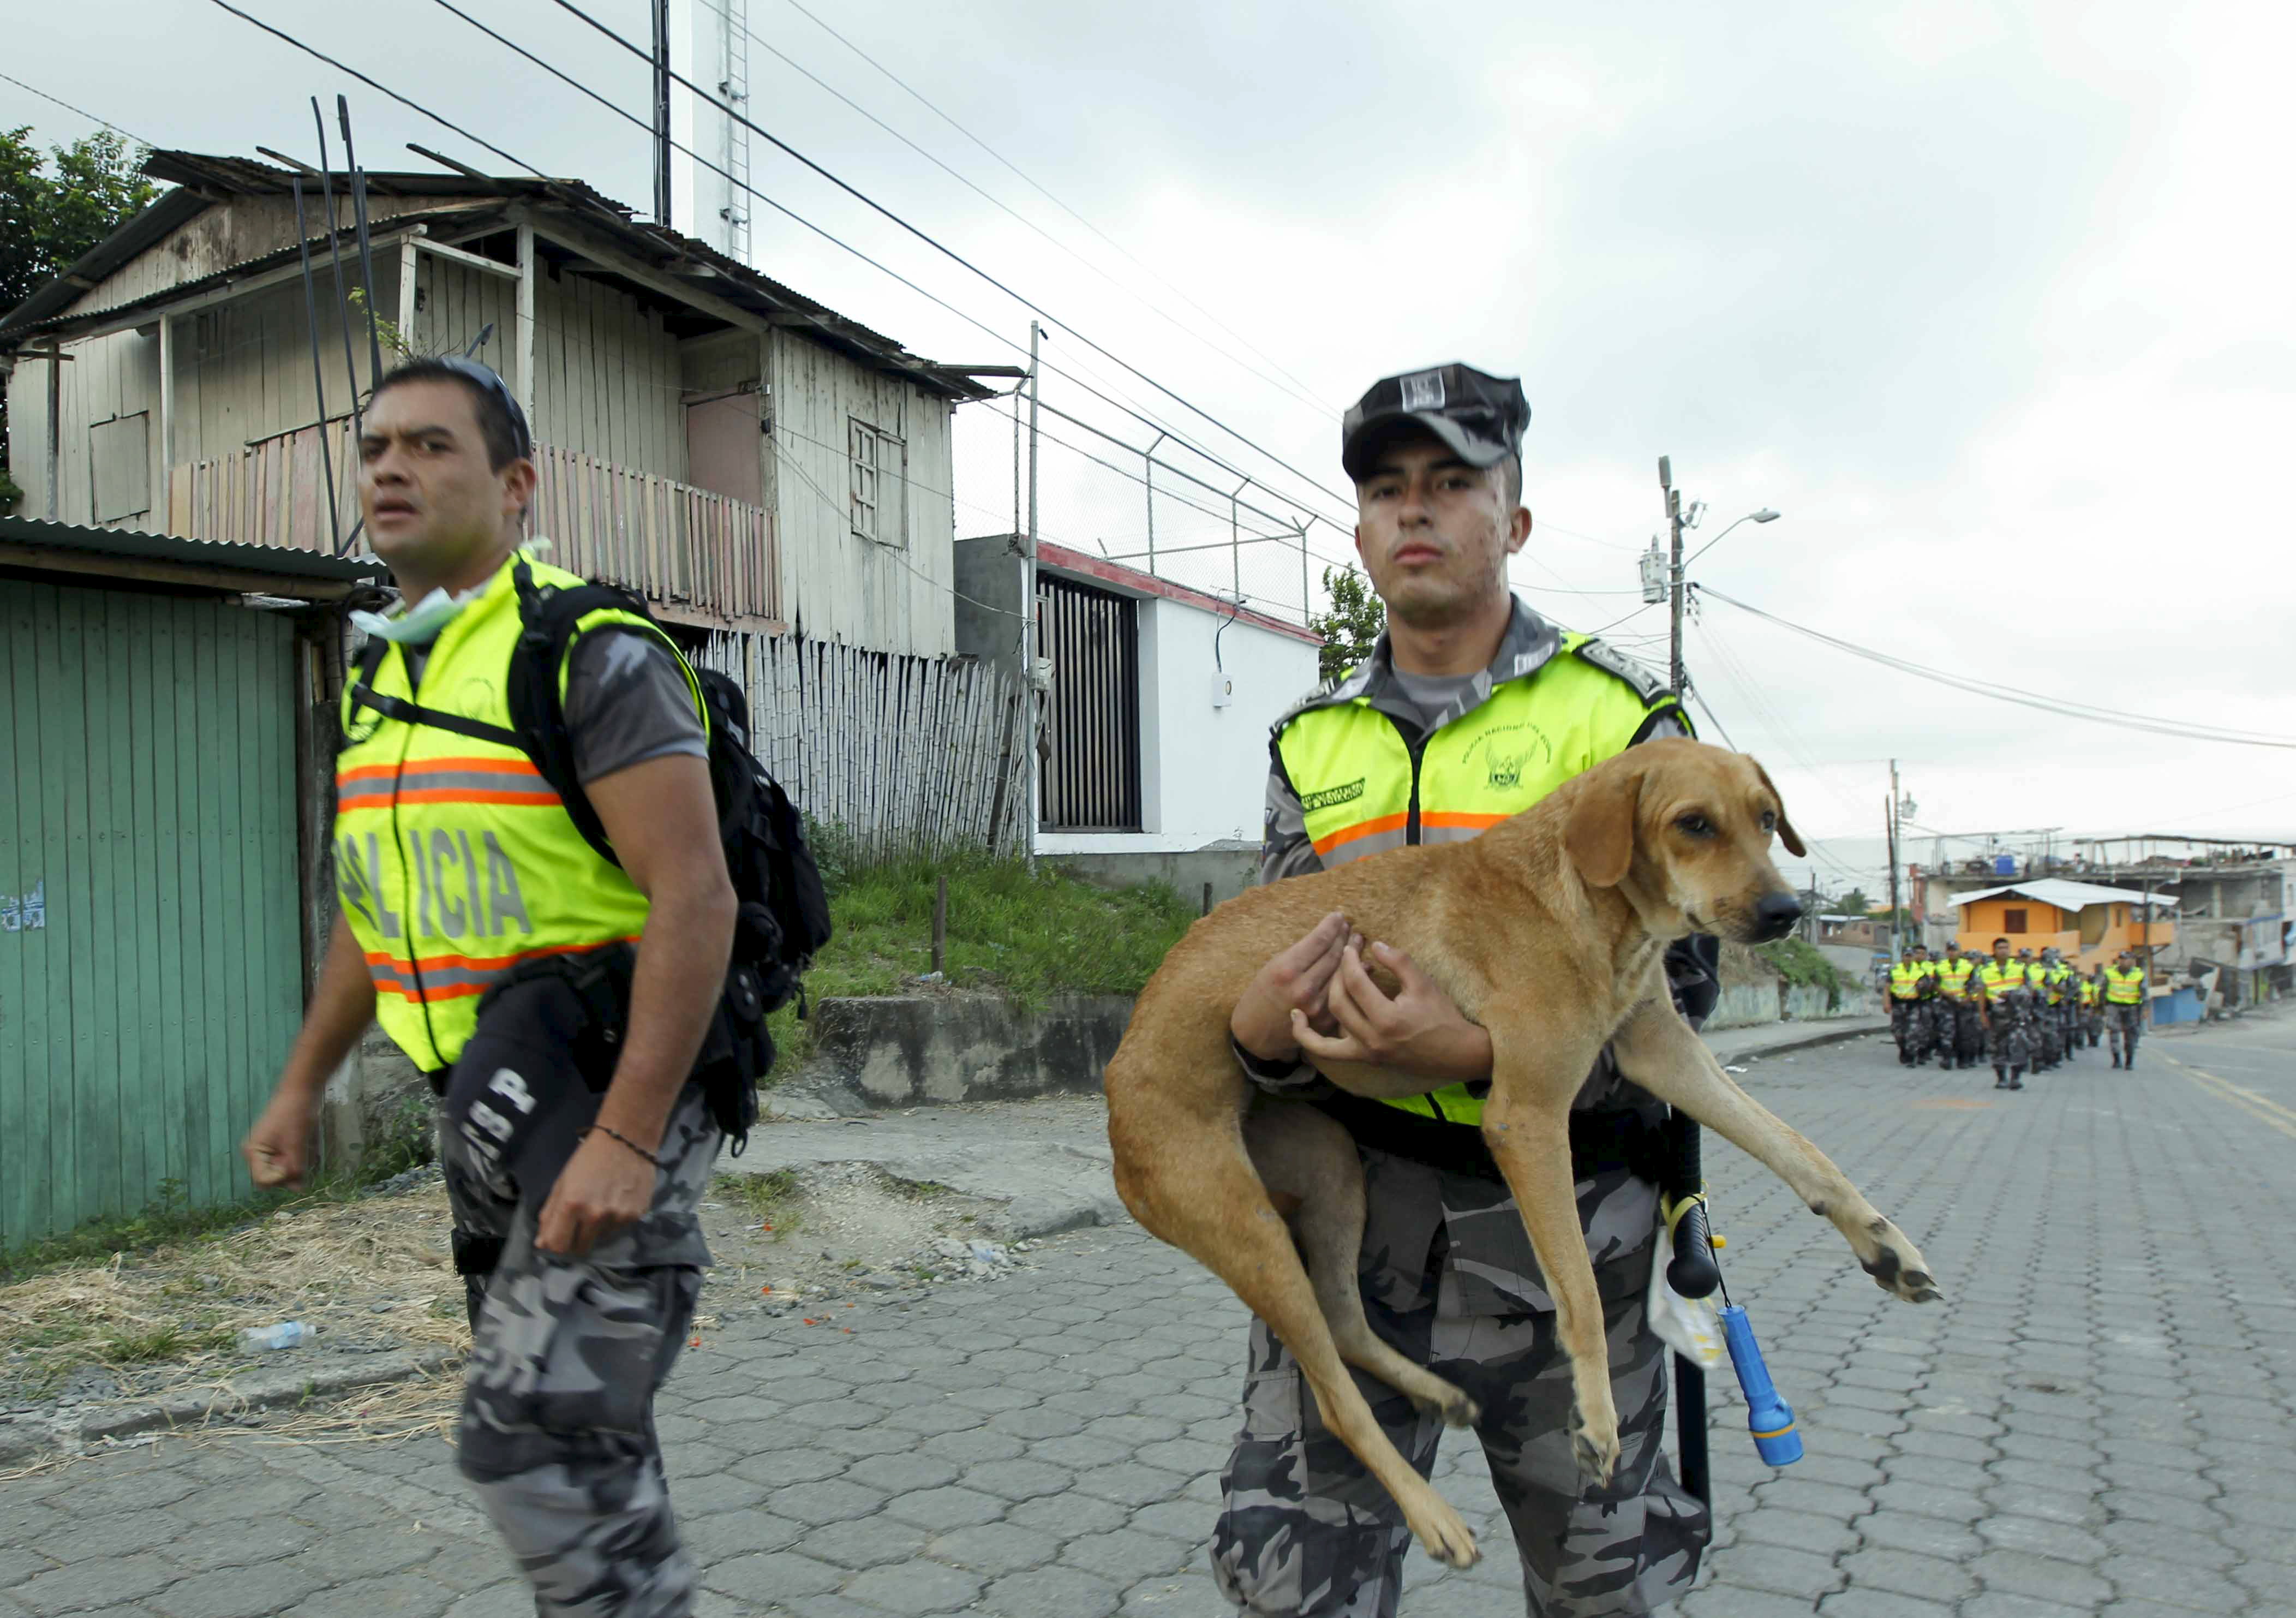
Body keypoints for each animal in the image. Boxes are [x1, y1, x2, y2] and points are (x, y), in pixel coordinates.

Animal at [243, 360, 730, 1606]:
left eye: (432, 443)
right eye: (379, 442)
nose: (387, 475)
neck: (444, 621)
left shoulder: (621, 690)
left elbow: (688, 884)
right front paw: (285, 1126)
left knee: (559, 1423)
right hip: (478, 1212)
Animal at [1102, 743, 1947, 1560]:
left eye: (1766, 818)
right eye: (1694, 824)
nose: (1784, 912)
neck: (1587, 900)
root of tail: (1116, 1078)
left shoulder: (1661, 1048)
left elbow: (1800, 1149)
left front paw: (1887, 1245)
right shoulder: (1528, 1117)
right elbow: (1579, 1289)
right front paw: (1597, 1419)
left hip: (1332, 1173)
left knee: (1342, 1319)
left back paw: (1435, 1393)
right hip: (1251, 1233)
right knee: (1337, 1403)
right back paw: (1432, 1515)